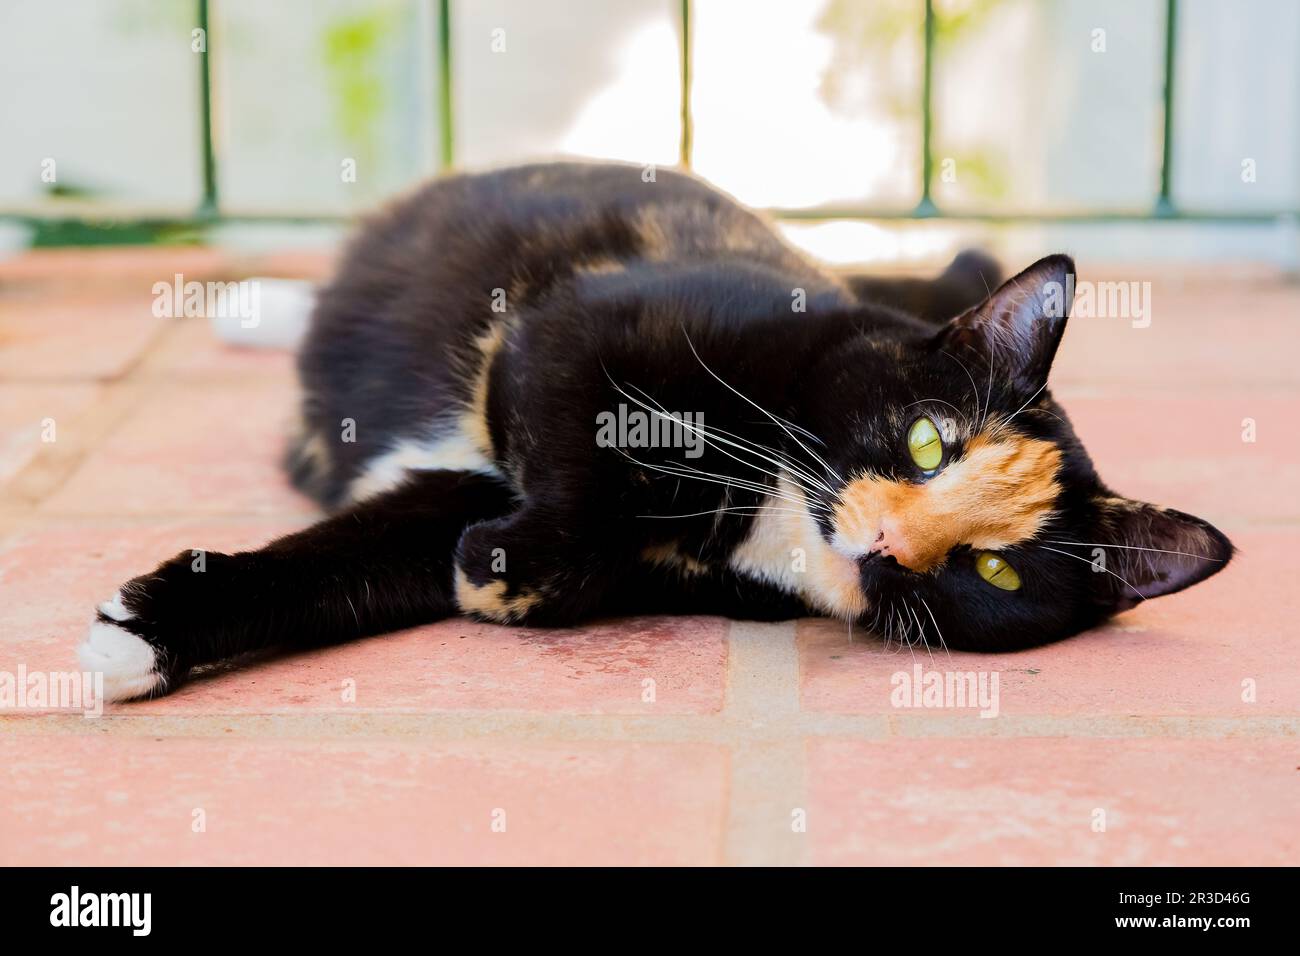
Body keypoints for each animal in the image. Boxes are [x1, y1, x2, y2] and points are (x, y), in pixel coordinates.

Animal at [78, 160, 1227, 702]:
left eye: (994, 569)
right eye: (928, 440)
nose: (890, 543)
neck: (761, 509)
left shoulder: (461, 493)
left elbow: (347, 566)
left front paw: (143, 635)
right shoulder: (567, 327)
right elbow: (569, 434)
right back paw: (254, 305)